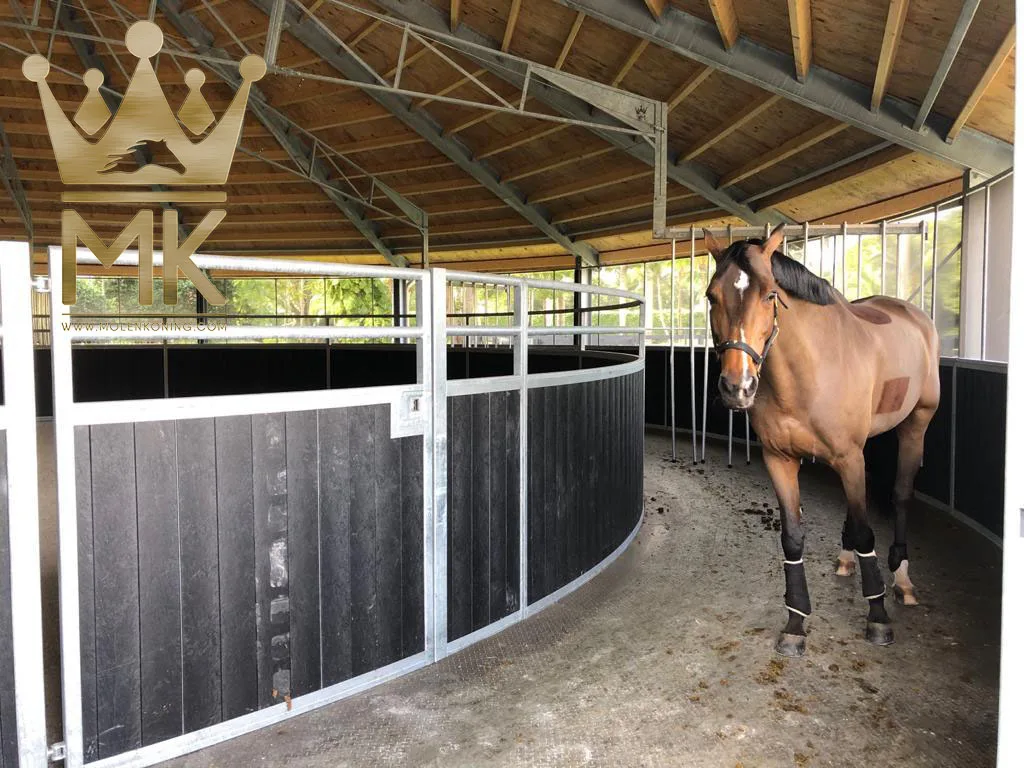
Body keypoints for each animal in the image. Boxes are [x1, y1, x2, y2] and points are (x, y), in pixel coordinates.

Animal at [703, 224, 940, 657]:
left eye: (770, 294)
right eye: (712, 295)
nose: (737, 388)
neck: (807, 371)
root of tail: (914, 316)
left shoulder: (848, 457)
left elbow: (866, 531)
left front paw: (877, 617)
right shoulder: (780, 460)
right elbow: (793, 539)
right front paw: (796, 623)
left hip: (916, 424)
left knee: (900, 495)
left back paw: (902, 580)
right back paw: (847, 559)